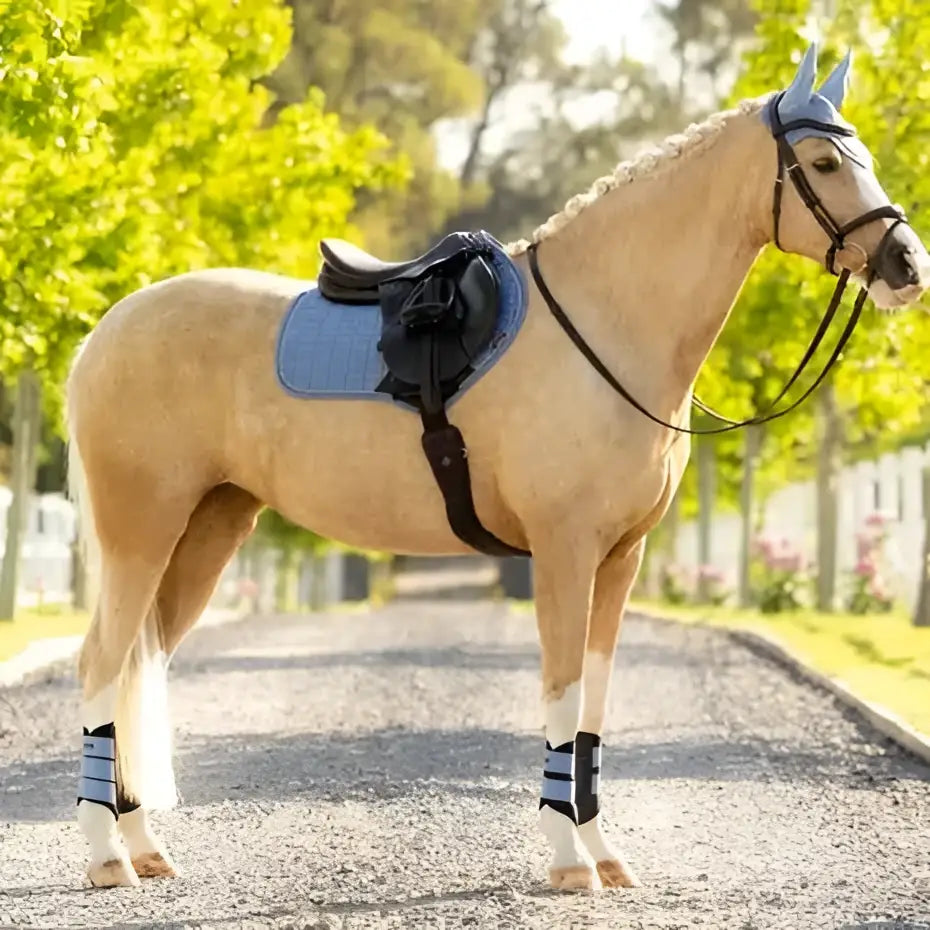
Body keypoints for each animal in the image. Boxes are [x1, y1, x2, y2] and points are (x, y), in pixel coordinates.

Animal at [67, 44, 930, 890]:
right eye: (822, 161)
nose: (906, 264)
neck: (606, 324)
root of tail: (105, 331)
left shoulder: (620, 559)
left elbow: (593, 706)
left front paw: (603, 854)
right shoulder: (564, 552)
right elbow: (562, 696)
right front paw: (566, 860)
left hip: (207, 530)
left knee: (136, 667)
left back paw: (144, 847)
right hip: (142, 534)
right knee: (102, 665)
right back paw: (108, 858)